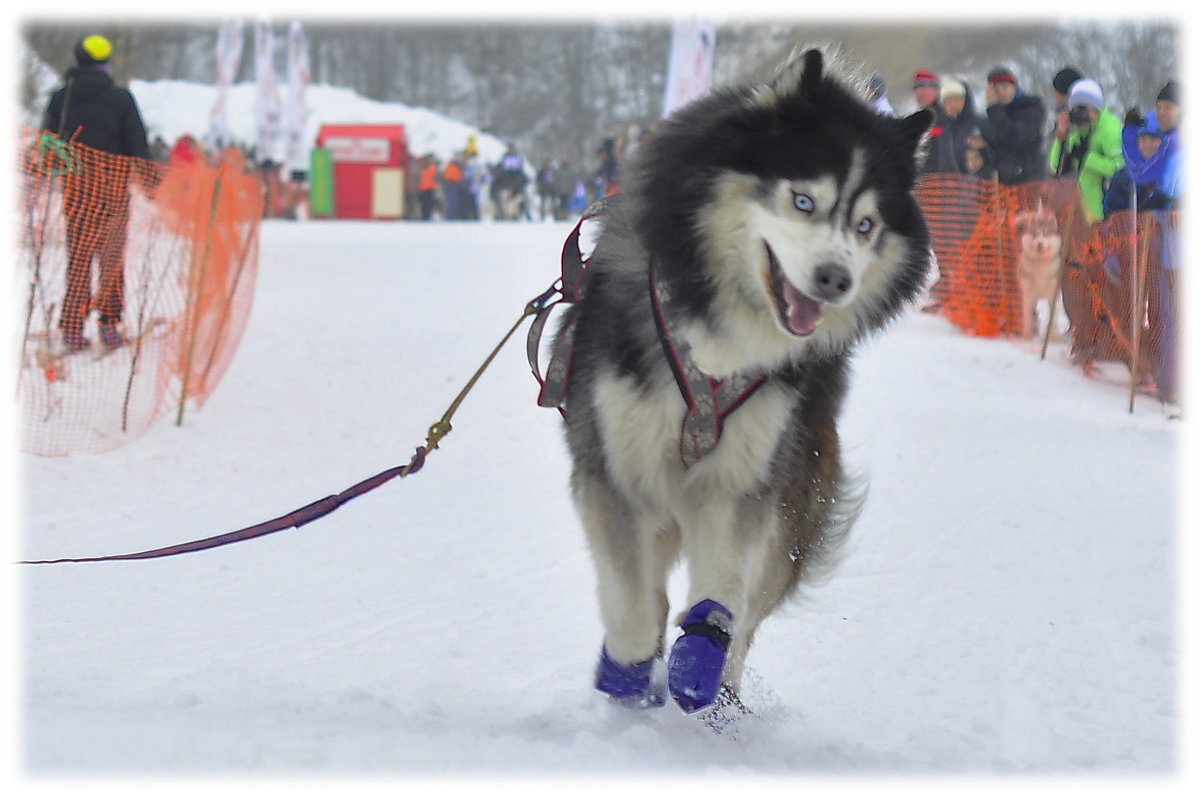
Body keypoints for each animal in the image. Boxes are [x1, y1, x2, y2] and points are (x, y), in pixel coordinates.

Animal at [552, 49, 936, 715]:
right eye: (803, 202)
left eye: (865, 225)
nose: (835, 280)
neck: (721, 341)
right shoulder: (614, 470)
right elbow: (631, 601)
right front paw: (627, 678)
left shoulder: (745, 481)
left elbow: (723, 591)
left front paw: (697, 664)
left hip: (796, 490)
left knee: (750, 610)